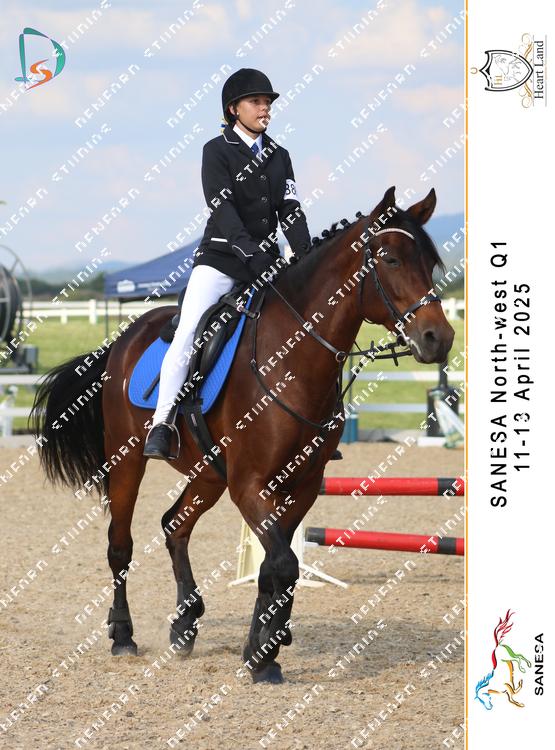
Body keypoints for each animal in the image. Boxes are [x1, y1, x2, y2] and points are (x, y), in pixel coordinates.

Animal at [31, 186, 455, 684]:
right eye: (390, 259)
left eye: (430, 263)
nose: (439, 339)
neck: (293, 357)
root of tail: (122, 339)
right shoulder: (250, 484)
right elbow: (283, 563)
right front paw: (265, 652)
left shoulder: (301, 484)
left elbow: (276, 566)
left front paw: (263, 645)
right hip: (128, 461)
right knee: (121, 545)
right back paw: (123, 636)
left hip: (209, 472)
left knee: (174, 526)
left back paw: (185, 627)